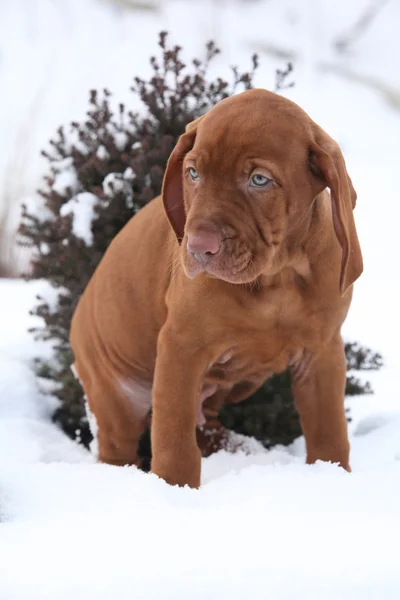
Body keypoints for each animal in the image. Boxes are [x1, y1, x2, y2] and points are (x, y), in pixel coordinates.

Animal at [69, 89, 362, 488]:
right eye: (193, 173)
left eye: (259, 180)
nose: (197, 248)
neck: (277, 276)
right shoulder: (181, 348)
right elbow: (174, 438)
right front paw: (174, 490)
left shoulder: (321, 352)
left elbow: (329, 432)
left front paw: (333, 478)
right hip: (115, 394)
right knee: (121, 446)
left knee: (207, 425)